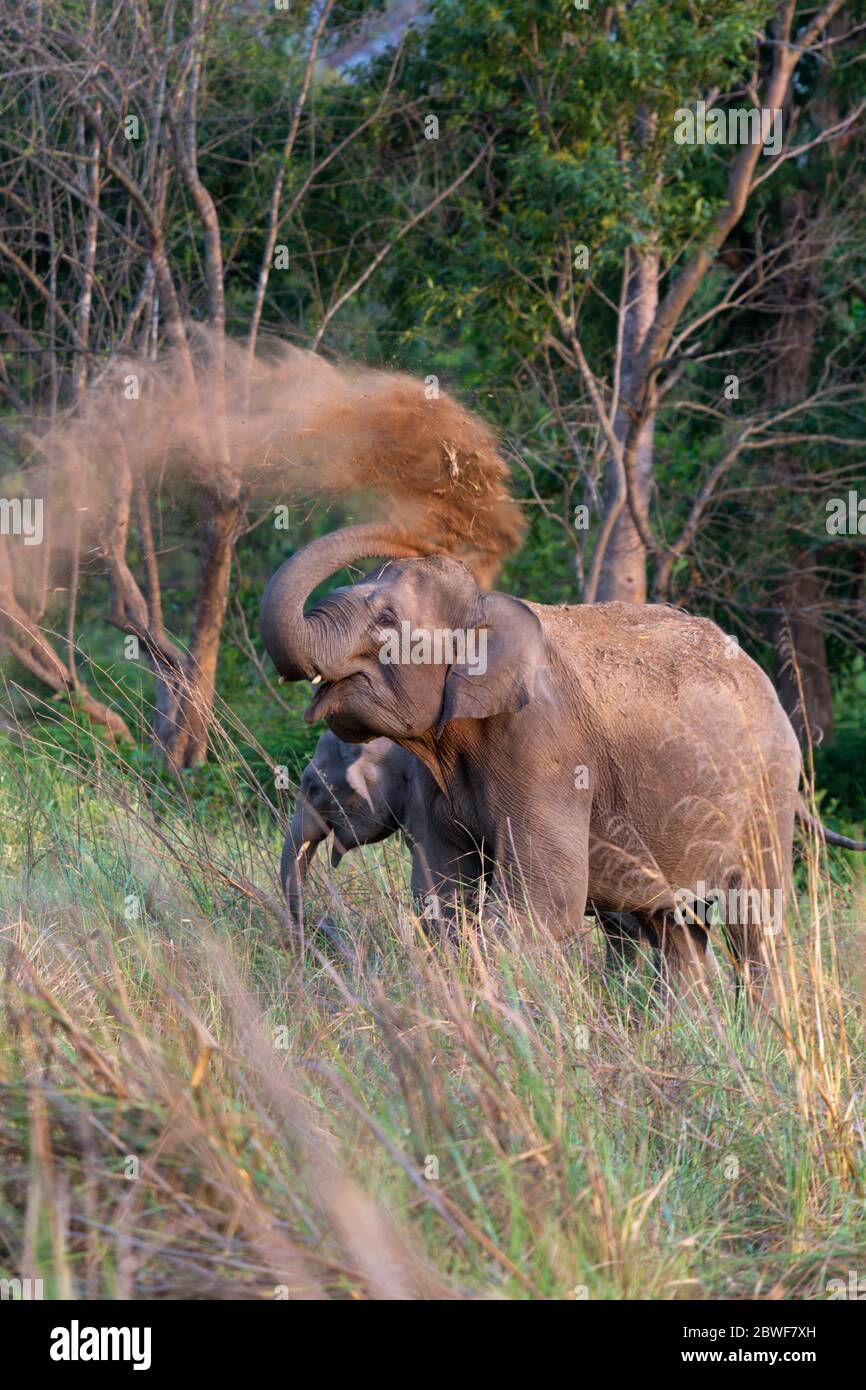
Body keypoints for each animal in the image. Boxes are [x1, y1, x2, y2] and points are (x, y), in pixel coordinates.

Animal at [264, 522, 866, 1000]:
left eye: (387, 618)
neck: (487, 609)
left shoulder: (542, 748)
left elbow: (543, 900)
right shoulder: (431, 784)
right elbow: (443, 899)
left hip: (765, 792)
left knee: (754, 921)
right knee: (678, 930)